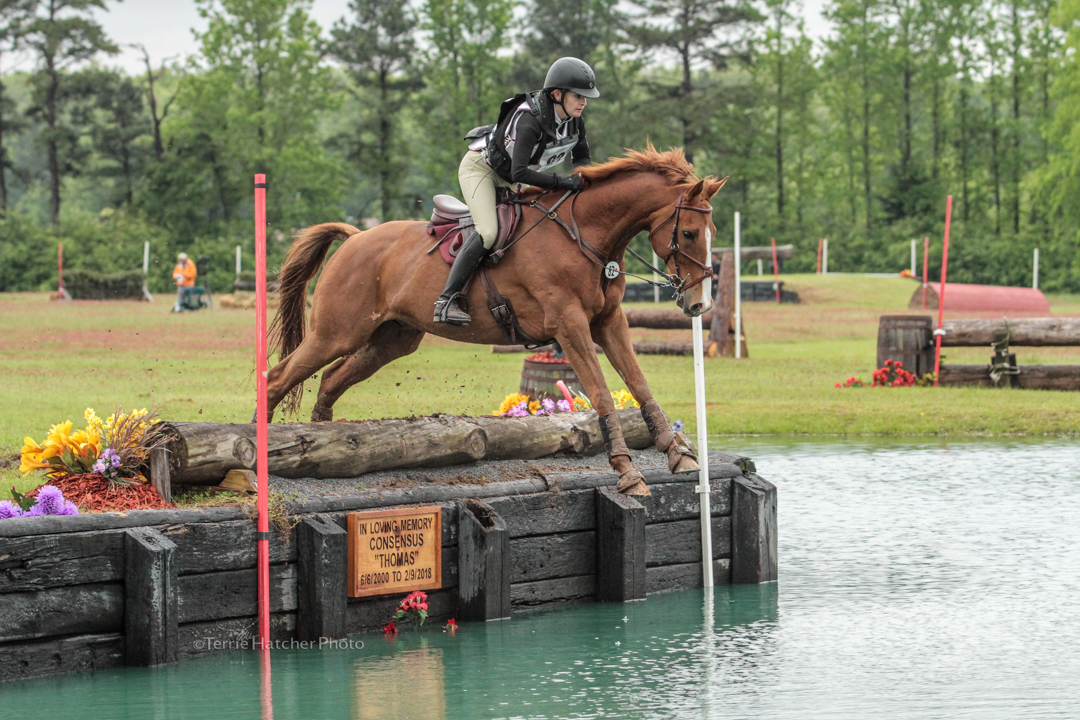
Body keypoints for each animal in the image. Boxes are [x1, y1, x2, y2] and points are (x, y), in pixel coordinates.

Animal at [266, 145, 726, 496]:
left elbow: (639, 384)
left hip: (390, 340)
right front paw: (628, 473)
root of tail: (355, 237)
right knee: (278, 378)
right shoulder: (569, 326)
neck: (585, 234)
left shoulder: (608, 321)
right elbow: (600, 394)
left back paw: (329, 446)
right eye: (688, 233)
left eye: (714, 233)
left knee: (330, 380)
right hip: (336, 333)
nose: (698, 304)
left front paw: (678, 454)